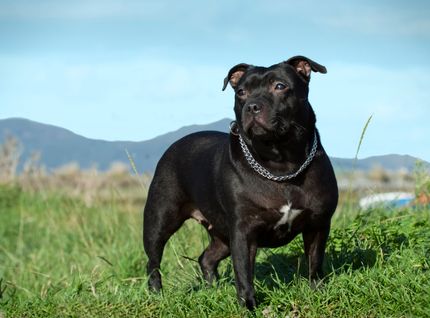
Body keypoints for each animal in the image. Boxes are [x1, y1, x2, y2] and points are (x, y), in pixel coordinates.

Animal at [144, 56, 340, 310]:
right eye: (241, 92)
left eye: (280, 86)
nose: (252, 106)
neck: (280, 164)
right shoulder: (243, 232)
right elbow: (244, 273)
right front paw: (248, 305)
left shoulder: (317, 223)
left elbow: (315, 262)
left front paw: (317, 292)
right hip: (160, 220)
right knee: (153, 261)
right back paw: (156, 295)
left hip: (222, 233)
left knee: (206, 257)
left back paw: (212, 289)